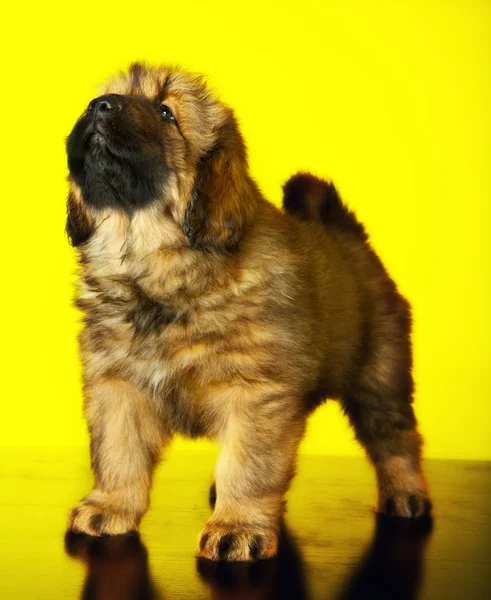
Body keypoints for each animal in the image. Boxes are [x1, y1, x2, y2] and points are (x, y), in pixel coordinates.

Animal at [64, 64, 430, 564]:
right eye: (105, 96)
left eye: (166, 112)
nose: (100, 106)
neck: (158, 271)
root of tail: (350, 238)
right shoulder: (118, 386)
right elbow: (118, 455)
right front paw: (110, 507)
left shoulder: (256, 393)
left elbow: (249, 467)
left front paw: (237, 527)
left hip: (379, 375)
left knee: (396, 437)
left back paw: (406, 492)